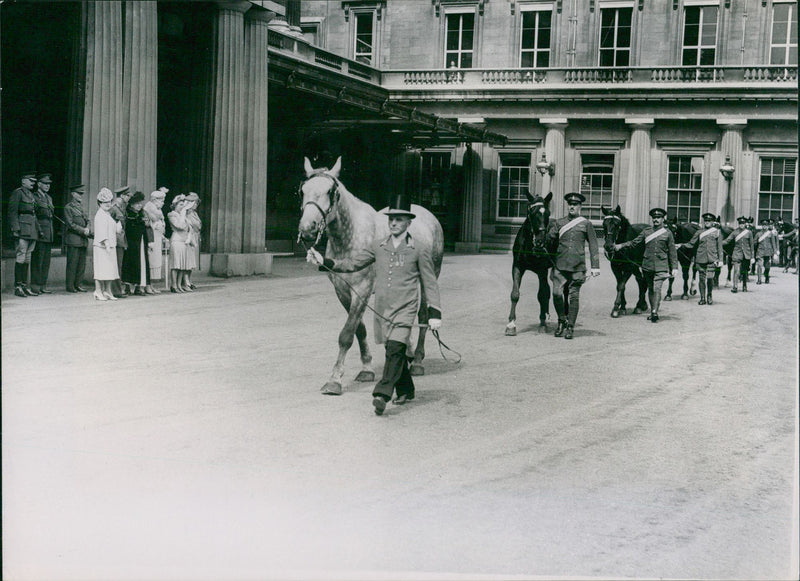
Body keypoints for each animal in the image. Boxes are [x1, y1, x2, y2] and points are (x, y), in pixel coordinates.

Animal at [504, 191, 552, 336]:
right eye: (532, 212)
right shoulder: (517, 267)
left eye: (548, 213)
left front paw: (542, 324)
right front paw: (511, 324)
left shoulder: (542, 270)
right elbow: (515, 294)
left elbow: (542, 295)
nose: (540, 241)